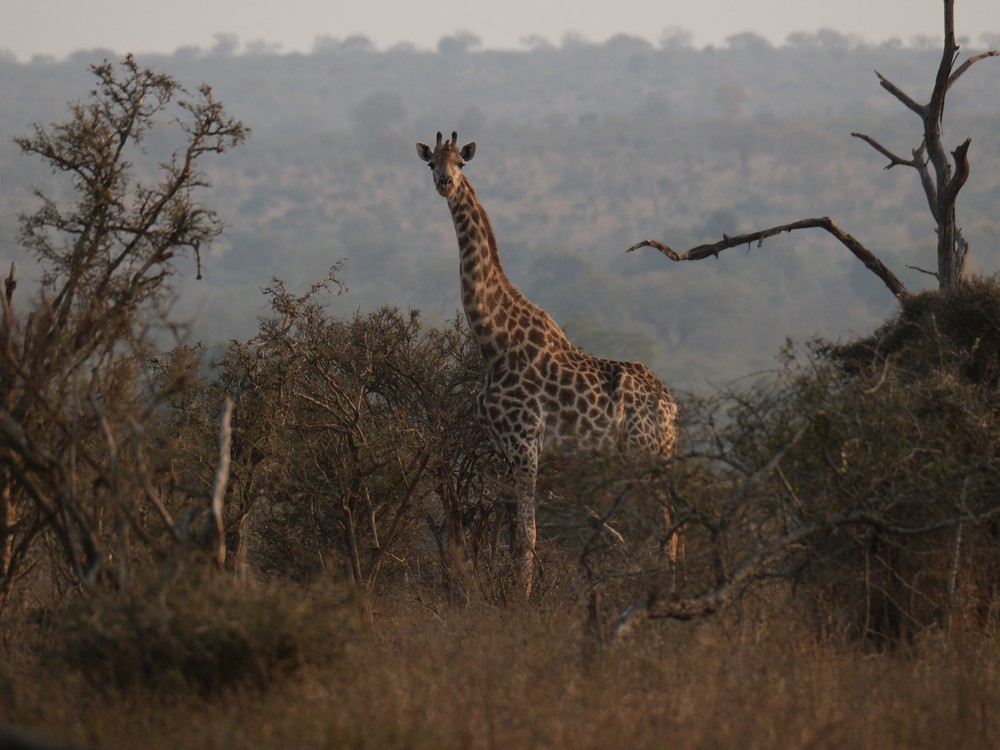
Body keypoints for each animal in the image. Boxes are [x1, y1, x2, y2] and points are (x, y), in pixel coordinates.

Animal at [417, 131, 678, 596]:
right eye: (431, 163)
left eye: (460, 163)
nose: (445, 183)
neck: (493, 342)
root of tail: (672, 406)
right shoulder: (503, 446)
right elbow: (511, 533)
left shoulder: (526, 442)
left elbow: (528, 534)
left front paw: (520, 601)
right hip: (642, 455)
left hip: (646, 452)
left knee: (668, 526)